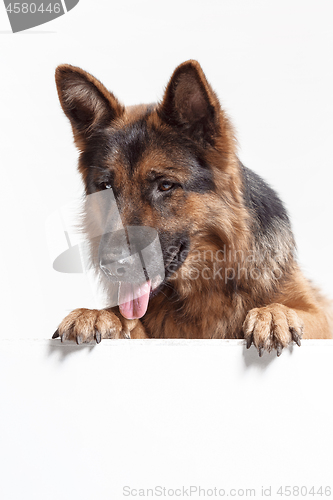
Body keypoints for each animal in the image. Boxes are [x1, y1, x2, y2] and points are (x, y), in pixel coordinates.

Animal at [53, 59, 330, 356]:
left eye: (165, 185)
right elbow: (129, 321)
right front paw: (98, 314)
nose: (112, 266)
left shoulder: (320, 314)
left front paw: (275, 314)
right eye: (105, 187)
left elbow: (300, 311)